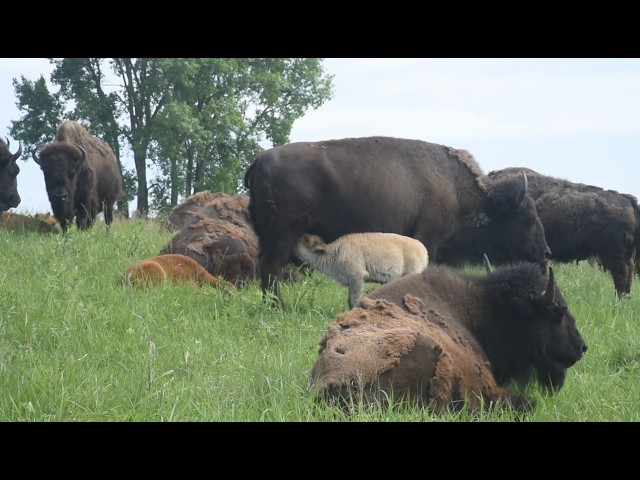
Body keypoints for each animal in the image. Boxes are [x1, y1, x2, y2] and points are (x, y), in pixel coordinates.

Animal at [243, 136, 551, 310]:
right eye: (526, 218)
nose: (545, 253)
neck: (457, 191)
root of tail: (259, 159)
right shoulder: (428, 240)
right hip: (281, 235)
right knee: (271, 269)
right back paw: (280, 309)